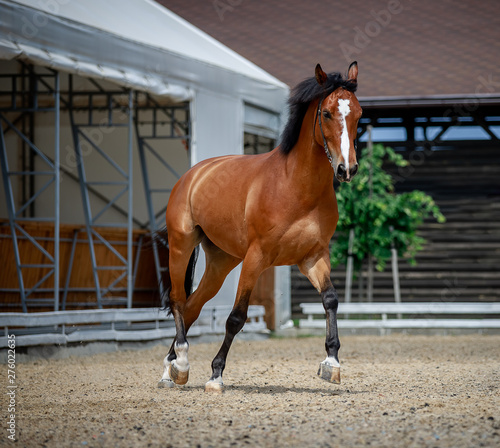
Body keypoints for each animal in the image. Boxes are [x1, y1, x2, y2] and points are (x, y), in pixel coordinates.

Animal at [158, 60, 362, 392]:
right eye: (327, 113)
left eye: (358, 113)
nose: (347, 169)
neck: (295, 187)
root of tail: (193, 174)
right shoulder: (257, 256)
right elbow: (236, 317)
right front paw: (216, 376)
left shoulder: (313, 257)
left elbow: (330, 299)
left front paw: (331, 363)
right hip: (181, 246)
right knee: (178, 301)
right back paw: (181, 365)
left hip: (221, 262)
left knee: (192, 307)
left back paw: (172, 369)